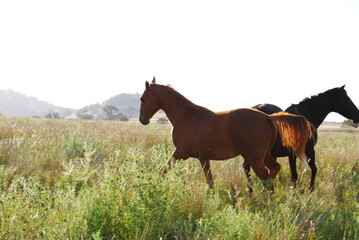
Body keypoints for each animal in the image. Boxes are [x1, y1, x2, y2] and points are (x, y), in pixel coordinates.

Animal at [139, 78, 314, 192]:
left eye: (142, 98)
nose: (142, 120)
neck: (186, 115)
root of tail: (267, 117)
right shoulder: (203, 158)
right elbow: (209, 181)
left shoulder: (180, 153)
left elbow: (163, 169)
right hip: (264, 156)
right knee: (273, 170)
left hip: (255, 158)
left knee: (266, 176)